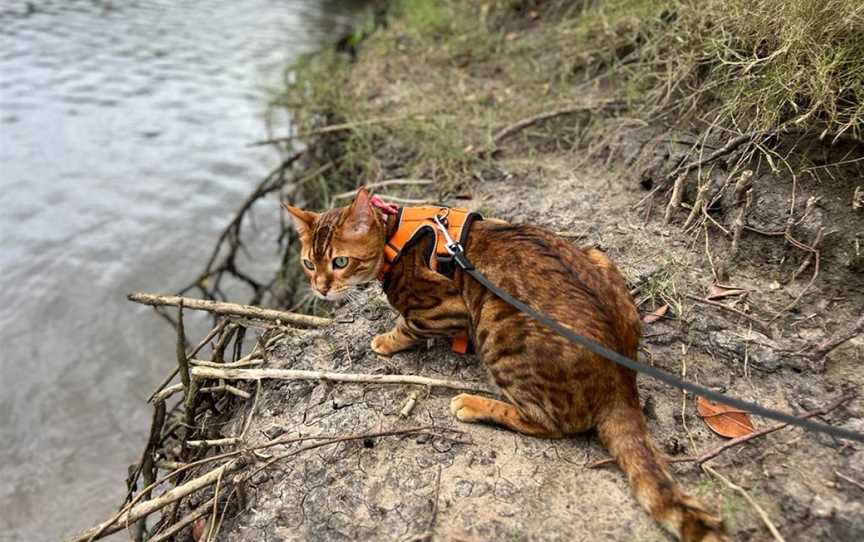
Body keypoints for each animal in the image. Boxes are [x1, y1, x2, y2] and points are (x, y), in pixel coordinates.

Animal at [286, 189, 728, 540]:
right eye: (309, 264)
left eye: (340, 262)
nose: (319, 289)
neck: (395, 233)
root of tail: (623, 379)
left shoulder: (443, 309)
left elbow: (406, 327)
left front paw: (385, 341)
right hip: (597, 257)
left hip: (498, 327)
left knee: (553, 423)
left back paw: (473, 404)